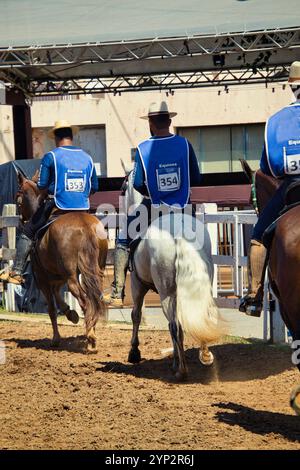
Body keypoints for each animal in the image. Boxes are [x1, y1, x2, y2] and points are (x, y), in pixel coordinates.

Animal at [15, 173, 108, 352]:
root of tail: (85, 226)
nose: (21, 221)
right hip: (95, 271)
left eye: (18, 198)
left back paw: (90, 337)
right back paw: (91, 333)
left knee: (85, 301)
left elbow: (51, 308)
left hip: (71, 277)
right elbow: (58, 296)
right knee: (95, 298)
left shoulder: (42, 279)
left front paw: (56, 339)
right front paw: (70, 313)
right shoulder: (57, 277)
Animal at [124, 173, 223, 382]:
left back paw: (181, 370)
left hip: (166, 293)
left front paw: (134, 352)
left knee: (174, 325)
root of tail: (179, 235)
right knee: (201, 316)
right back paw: (205, 356)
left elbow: (136, 315)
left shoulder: (137, 284)